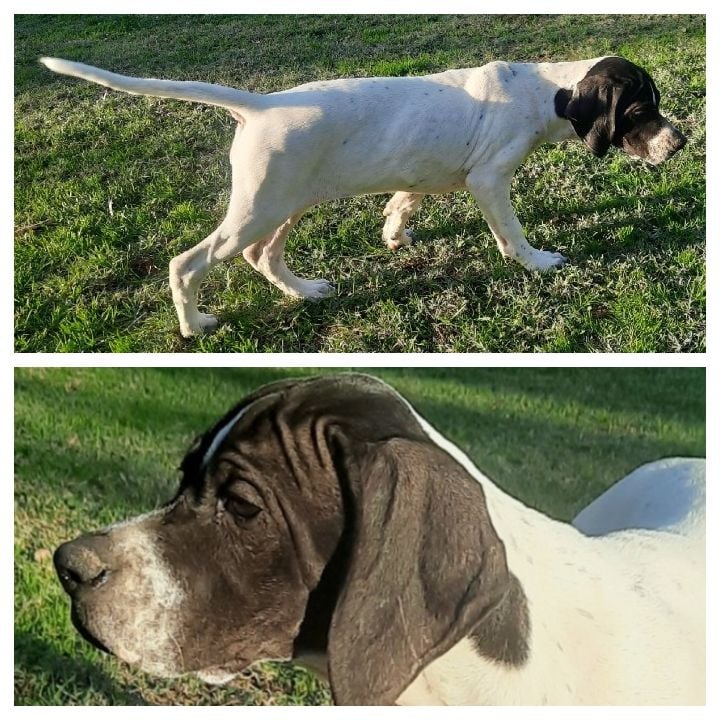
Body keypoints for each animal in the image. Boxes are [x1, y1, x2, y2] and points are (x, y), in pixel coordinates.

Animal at [39, 57, 688, 338]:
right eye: (639, 111)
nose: (680, 142)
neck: (544, 89)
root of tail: (261, 105)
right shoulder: (489, 181)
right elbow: (513, 234)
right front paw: (537, 261)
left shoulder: (428, 176)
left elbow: (404, 200)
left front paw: (395, 233)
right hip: (260, 207)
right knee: (188, 263)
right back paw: (194, 324)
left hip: (288, 202)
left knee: (261, 255)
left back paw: (304, 292)